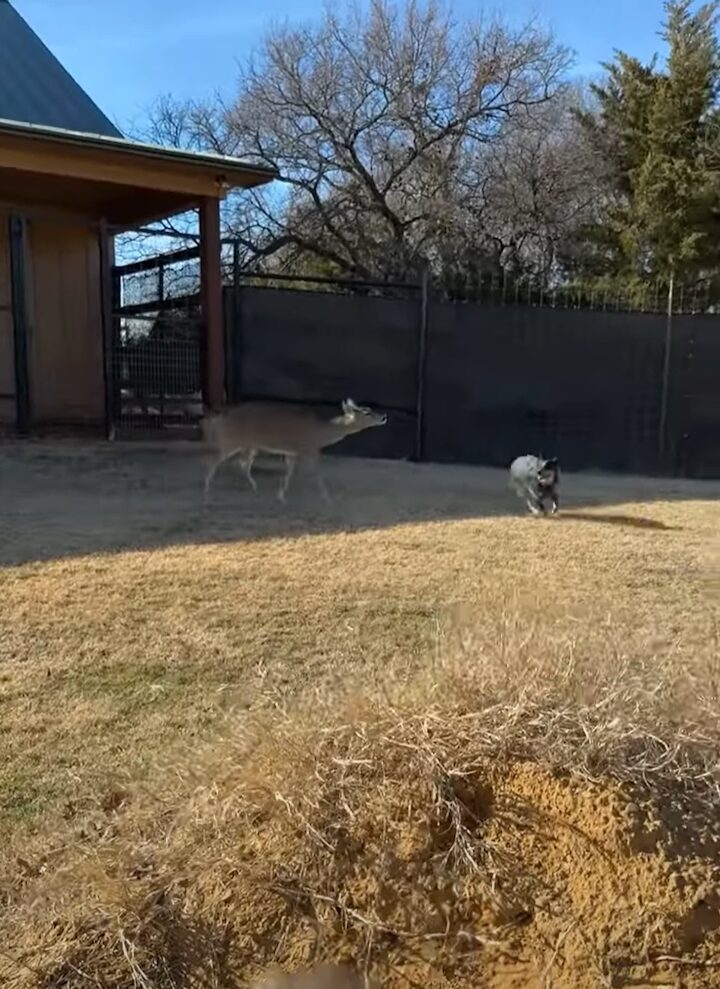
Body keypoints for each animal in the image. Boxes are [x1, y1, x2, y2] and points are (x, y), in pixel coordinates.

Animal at [201, 396, 388, 502]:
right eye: (367, 413)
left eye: (370, 408)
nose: (384, 416)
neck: (322, 433)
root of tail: (219, 419)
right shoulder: (309, 448)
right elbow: (316, 472)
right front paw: (327, 497)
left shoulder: (292, 452)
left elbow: (289, 472)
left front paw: (281, 495)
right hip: (232, 441)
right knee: (214, 461)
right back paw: (207, 491)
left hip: (251, 445)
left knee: (242, 464)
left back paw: (255, 488)